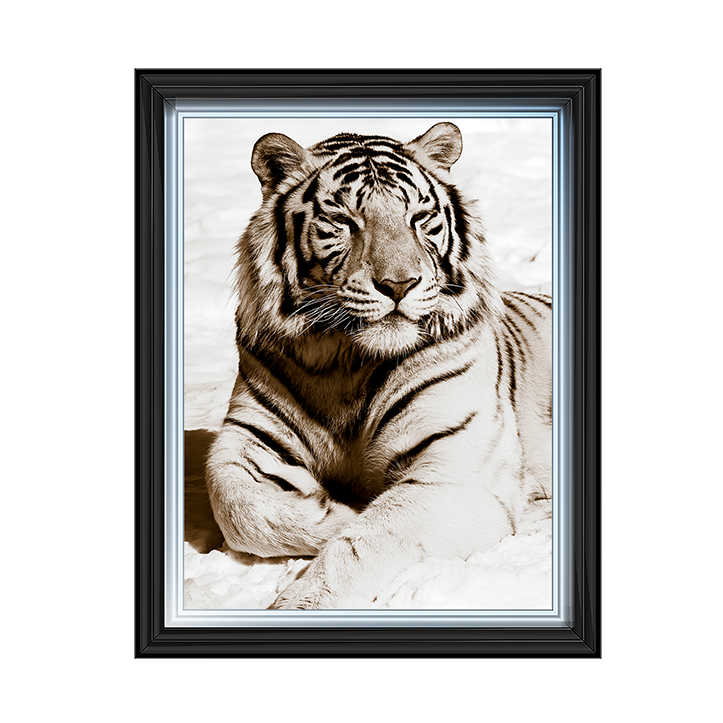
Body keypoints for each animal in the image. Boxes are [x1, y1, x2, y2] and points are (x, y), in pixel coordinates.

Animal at [205, 122, 552, 610]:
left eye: (419, 218)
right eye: (344, 222)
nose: (399, 285)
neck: (345, 362)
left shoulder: (457, 474)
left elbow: (367, 540)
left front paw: (303, 600)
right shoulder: (247, 437)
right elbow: (236, 506)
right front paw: (336, 510)